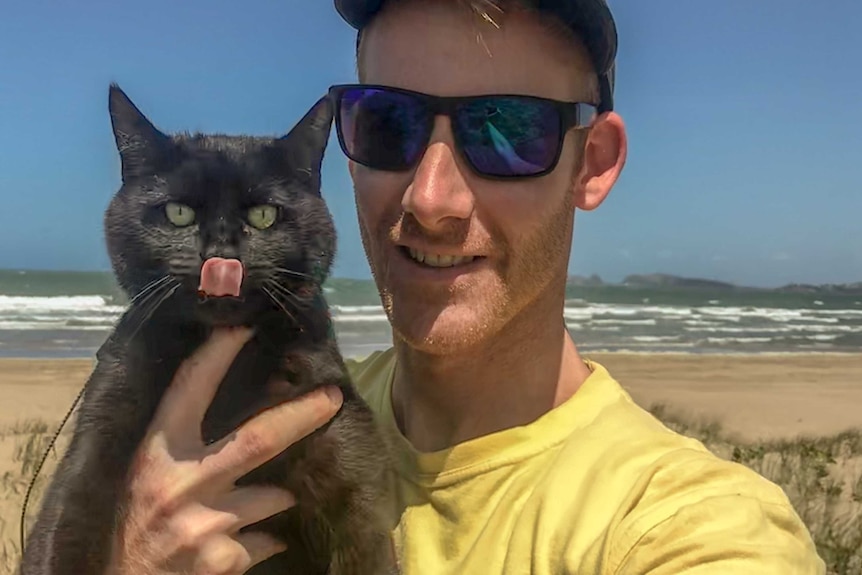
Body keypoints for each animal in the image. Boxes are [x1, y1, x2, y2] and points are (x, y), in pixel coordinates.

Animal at [20, 85, 398, 575]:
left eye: (263, 215)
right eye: (179, 213)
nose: (220, 253)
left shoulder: (352, 472)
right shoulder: (98, 427)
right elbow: (63, 525)